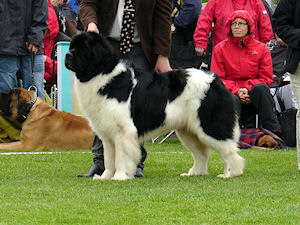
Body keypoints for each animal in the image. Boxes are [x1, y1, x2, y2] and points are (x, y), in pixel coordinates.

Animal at [65, 32, 244, 181]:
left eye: (82, 49)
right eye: (71, 47)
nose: (67, 55)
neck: (103, 75)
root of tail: (214, 79)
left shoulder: (123, 132)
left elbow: (121, 157)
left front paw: (120, 177)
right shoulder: (108, 135)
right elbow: (109, 159)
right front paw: (104, 177)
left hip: (209, 126)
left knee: (229, 150)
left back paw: (230, 173)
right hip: (188, 131)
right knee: (201, 154)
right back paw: (194, 173)